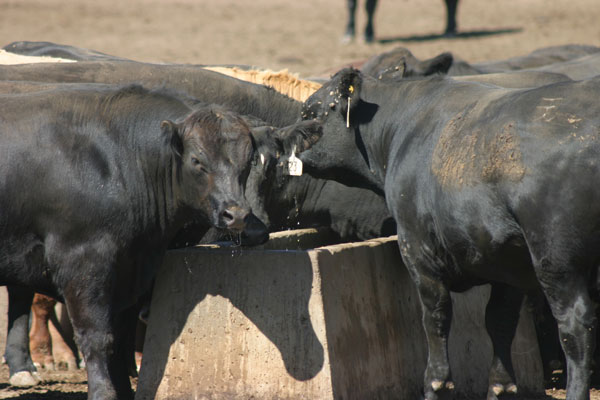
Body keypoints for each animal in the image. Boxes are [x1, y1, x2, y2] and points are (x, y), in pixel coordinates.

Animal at [0, 83, 322, 396]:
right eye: (197, 161)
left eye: (247, 161)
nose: (239, 217)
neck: (118, 159)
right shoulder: (82, 262)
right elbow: (97, 337)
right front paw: (104, 392)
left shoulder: (129, 270)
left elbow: (120, 339)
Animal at [300, 67, 600, 398]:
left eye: (310, 111)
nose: (289, 137)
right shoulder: (508, 260)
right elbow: (500, 321)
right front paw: (500, 387)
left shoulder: (418, 250)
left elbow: (436, 316)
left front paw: (436, 383)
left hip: (555, 261)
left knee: (575, 327)